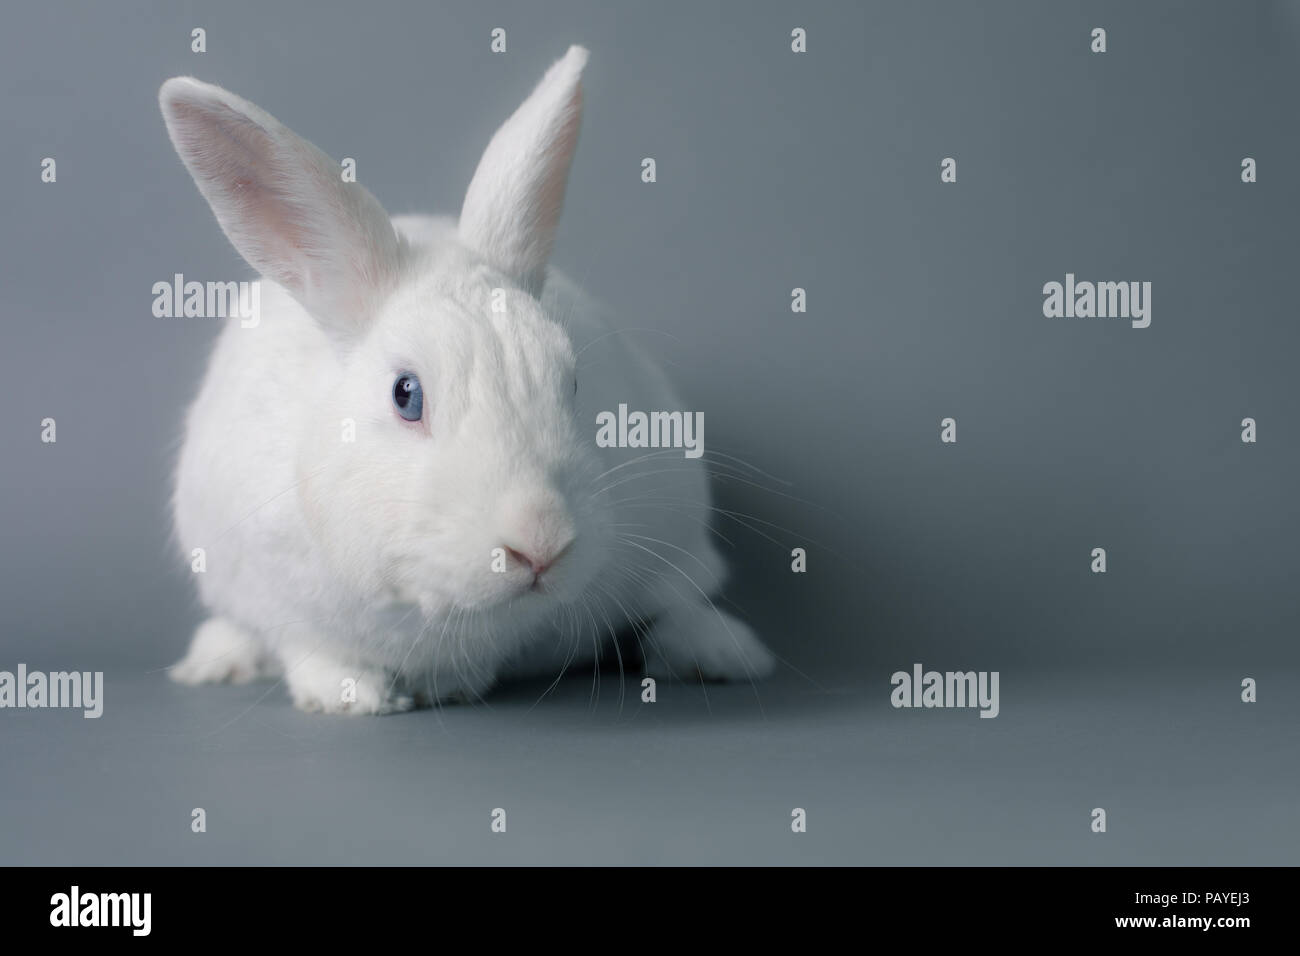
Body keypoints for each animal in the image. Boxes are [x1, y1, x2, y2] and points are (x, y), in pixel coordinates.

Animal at [161, 48, 769, 712]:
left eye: (572, 383)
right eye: (406, 394)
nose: (541, 540)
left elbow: (665, 608)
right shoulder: (276, 596)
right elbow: (314, 651)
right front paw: (356, 699)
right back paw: (215, 662)